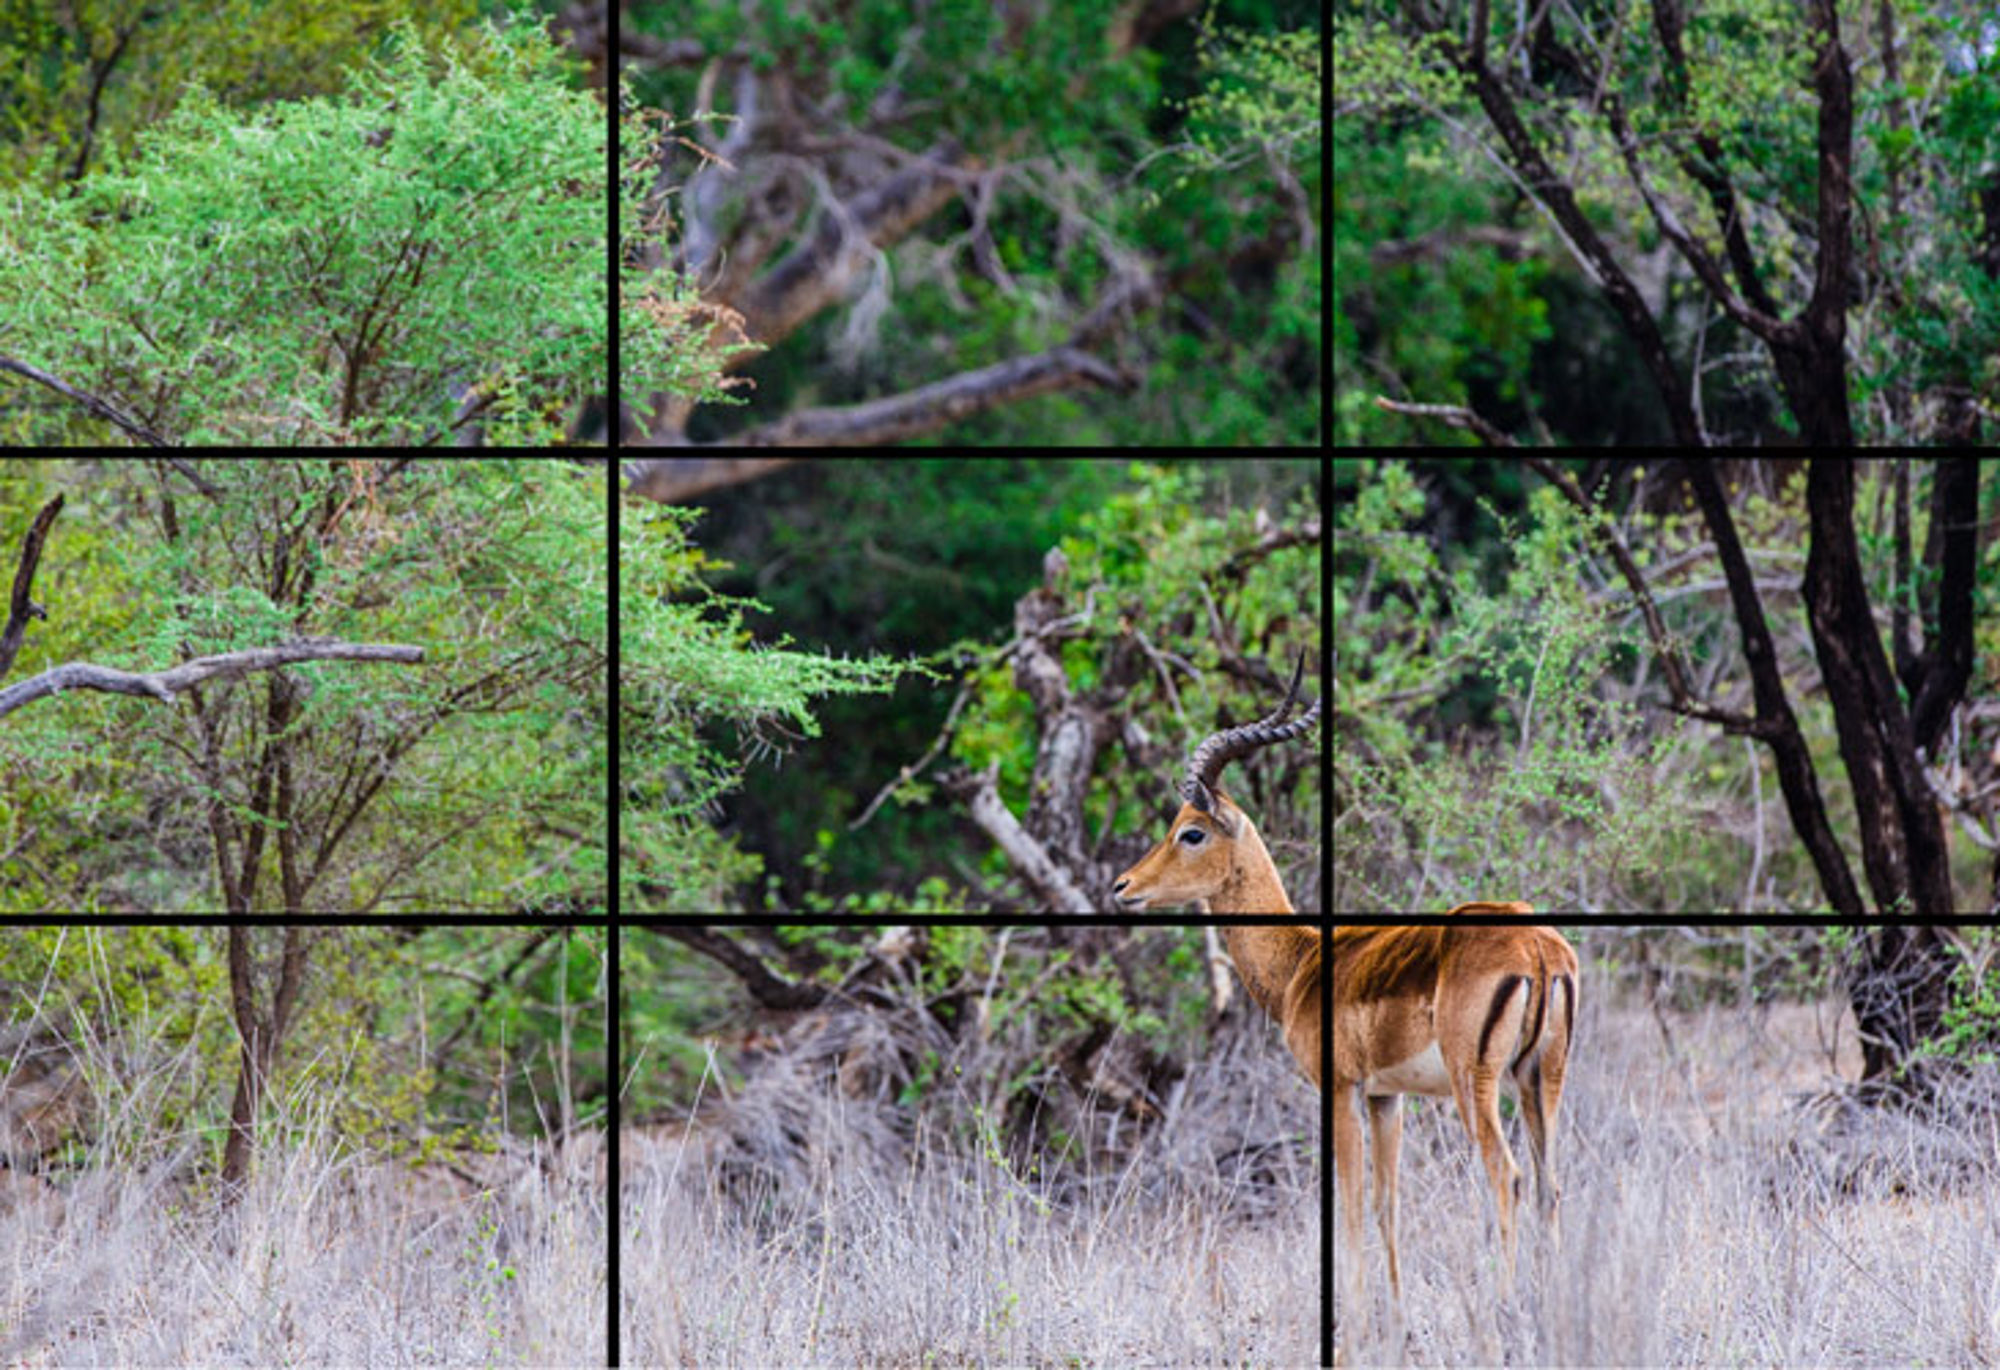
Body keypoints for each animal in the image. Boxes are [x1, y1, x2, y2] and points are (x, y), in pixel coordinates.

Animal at [1333, 904, 1577, 1344]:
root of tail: (1535, 944)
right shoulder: (1384, 1097)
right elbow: (1383, 1202)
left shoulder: (1347, 1091)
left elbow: (1353, 1204)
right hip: (1542, 1079)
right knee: (1547, 1186)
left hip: (1475, 1085)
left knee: (1507, 1175)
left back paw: (1505, 1313)